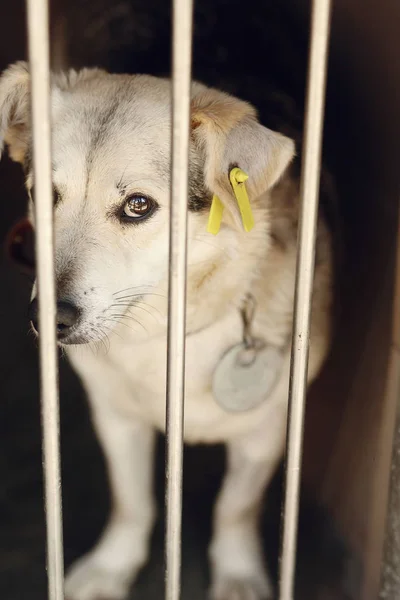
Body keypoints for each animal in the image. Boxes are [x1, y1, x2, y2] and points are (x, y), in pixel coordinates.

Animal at [0, 62, 332, 600]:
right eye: (43, 196)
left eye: (138, 206)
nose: (47, 318)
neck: (167, 333)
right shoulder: (115, 417)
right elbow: (131, 500)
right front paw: (112, 567)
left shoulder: (264, 433)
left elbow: (235, 507)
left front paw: (237, 575)